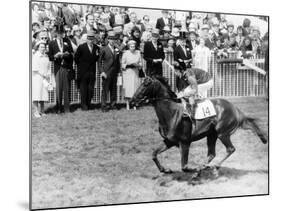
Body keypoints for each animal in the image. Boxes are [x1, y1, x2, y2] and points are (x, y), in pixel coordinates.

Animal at [130, 76, 266, 175]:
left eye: (146, 84)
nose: (132, 101)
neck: (171, 113)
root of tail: (236, 109)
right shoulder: (169, 141)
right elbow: (154, 154)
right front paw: (165, 169)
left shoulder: (185, 142)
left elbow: (184, 167)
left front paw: (194, 170)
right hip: (212, 135)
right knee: (211, 154)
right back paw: (203, 167)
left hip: (222, 133)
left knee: (230, 149)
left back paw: (213, 167)